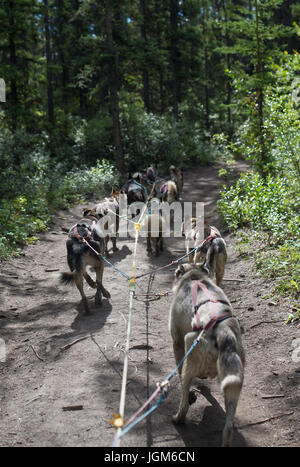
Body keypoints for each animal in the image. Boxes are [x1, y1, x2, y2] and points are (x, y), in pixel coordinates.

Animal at [169, 266, 244, 448]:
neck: (194, 276)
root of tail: (225, 332)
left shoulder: (177, 343)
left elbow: (179, 373)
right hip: (233, 385)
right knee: (228, 427)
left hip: (189, 346)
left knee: (184, 403)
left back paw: (178, 418)